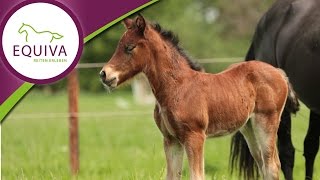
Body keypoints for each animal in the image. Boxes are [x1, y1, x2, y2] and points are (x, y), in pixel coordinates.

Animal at [99, 15, 296, 180]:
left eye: (129, 47)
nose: (104, 74)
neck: (177, 87)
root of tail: (278, 72)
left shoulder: (195, 136)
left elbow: (197, 176)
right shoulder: (171, 140)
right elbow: (172, 176)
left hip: (266, 122)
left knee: (272, 166)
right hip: (248, 127)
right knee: (263, 165)